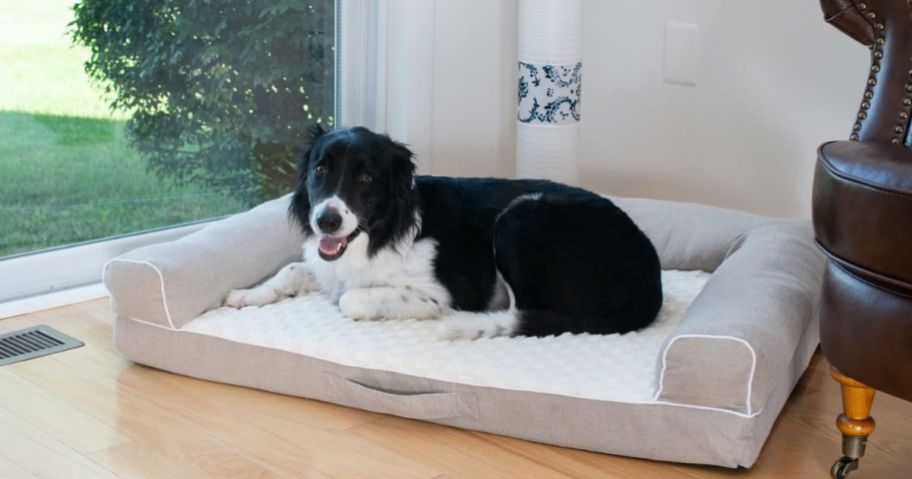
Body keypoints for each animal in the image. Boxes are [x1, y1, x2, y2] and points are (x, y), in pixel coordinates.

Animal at [223, 125, 664, 340]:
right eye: (320, 169)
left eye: (366, 178)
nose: (326, 221)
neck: (379, 232)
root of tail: (651, 282)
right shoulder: (327, 265)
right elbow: (293, 270)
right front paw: (247, 294)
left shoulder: (443, 293)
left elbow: (352, 299)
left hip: (521, 216)